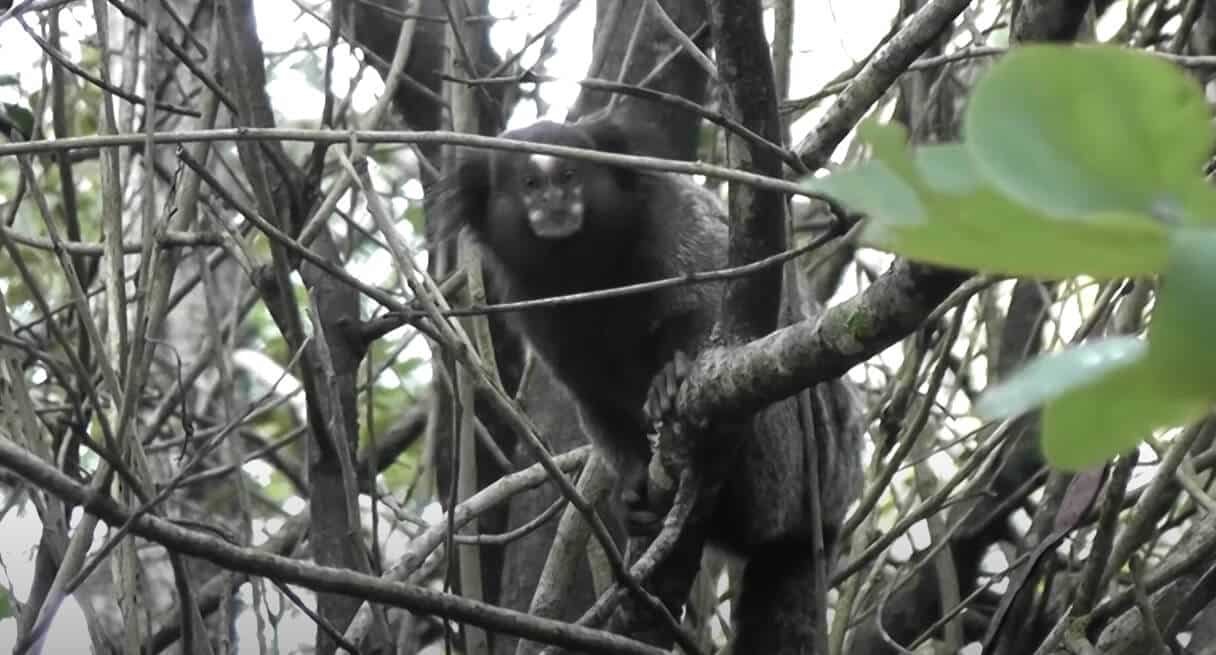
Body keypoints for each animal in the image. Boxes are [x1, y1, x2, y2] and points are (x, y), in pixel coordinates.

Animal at [440, 120, 865, 651]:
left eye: (569, 174)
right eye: (530, 185)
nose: (556, 200)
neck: (583, 267)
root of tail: (826, 514)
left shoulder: (678, 221)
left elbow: (718, 308)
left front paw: (671, 378)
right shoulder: (538, 308)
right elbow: (595, 398)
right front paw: (633, 489)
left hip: (796, 471)